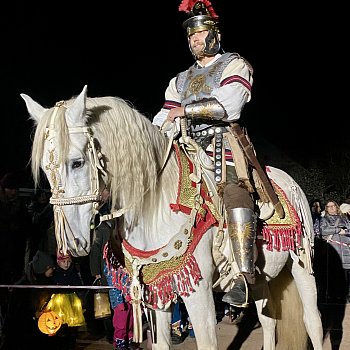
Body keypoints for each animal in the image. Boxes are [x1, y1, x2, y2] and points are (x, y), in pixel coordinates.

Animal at [21, 85, 322, 350]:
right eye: (45, 169)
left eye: (77, 162)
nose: (72, 243)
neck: (155, 204)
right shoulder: (155, 291)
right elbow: (161, 343)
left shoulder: (198, 290)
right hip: (261, 278)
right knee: (269, 321)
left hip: (301, 265)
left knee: (313, 322)